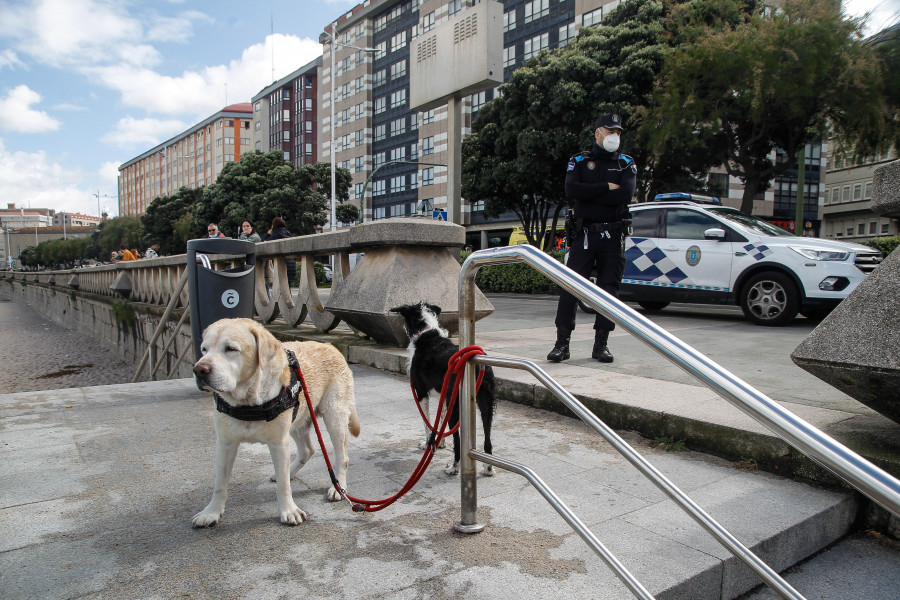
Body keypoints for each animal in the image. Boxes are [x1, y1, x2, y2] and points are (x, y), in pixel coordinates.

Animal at [191, 318, 358, 524]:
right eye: (204, 349)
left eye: (230, 348)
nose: (199, 369)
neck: (248, 402)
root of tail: (330, 346)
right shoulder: (225, 443)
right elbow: (220, 483)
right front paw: (211, 512)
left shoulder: (279, 443)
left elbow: (284, 486)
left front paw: (288, 510)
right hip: (298, 419)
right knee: (307, 451)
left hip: (334, 416)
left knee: (342, 457)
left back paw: (338, 487)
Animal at [390, 302, 496, 476]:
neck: (426, 334)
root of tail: (477, 366)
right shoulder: (444, 395)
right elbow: (439, 421)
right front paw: (439, 443)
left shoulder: (421, 393)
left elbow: (427, 423)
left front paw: (428, 444)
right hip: (486, 402)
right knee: (488, 439)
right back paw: (488, 469)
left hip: (457, 405)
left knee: (458, 442)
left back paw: (454, 467)